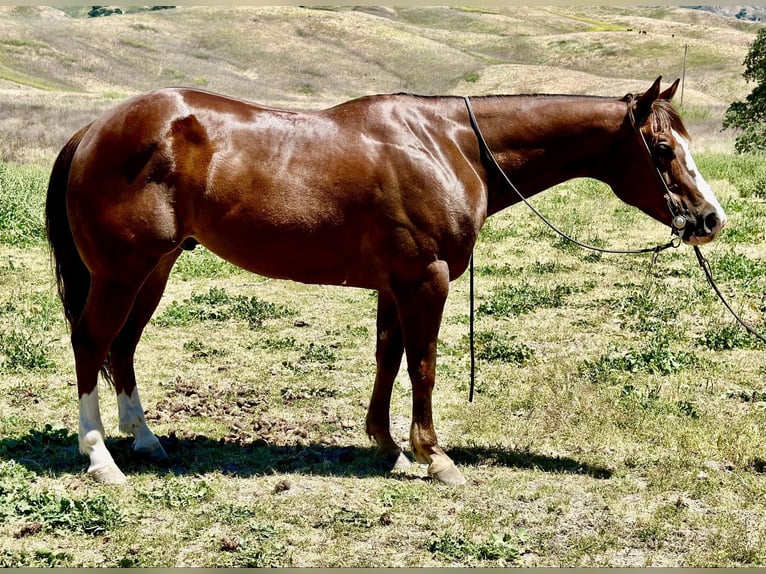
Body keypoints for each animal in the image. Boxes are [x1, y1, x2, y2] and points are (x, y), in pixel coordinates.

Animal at [45, 77, 728, 486]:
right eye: (662, 149)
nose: (710, 219)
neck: (450, 145)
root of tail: (92, 132)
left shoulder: (396, 282)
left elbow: (387, 356)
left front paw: (388, 447)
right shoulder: (425, 279)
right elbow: (421, 364)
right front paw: (435, 456)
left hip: (153, 270)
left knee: (121, 347)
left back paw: (145, 440)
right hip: (122, 271)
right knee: (90, 341)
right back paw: (101, 456)